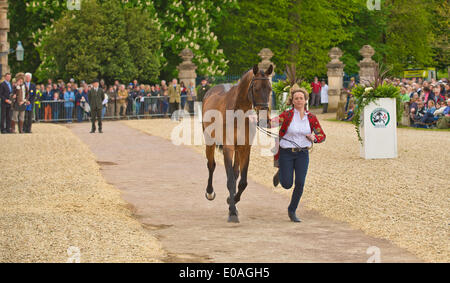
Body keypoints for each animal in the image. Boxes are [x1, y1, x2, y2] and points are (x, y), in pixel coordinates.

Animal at [202, 65, 272, 224]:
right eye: (256, 89)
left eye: (270, 89)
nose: (264, 119)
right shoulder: (228, 148)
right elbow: (230, 181)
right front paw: (232, 212)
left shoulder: (245, 148)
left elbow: (242, 181)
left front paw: (232, 201)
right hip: (209, 141)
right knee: (211, 165)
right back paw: (210, 192)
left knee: (235, 172)